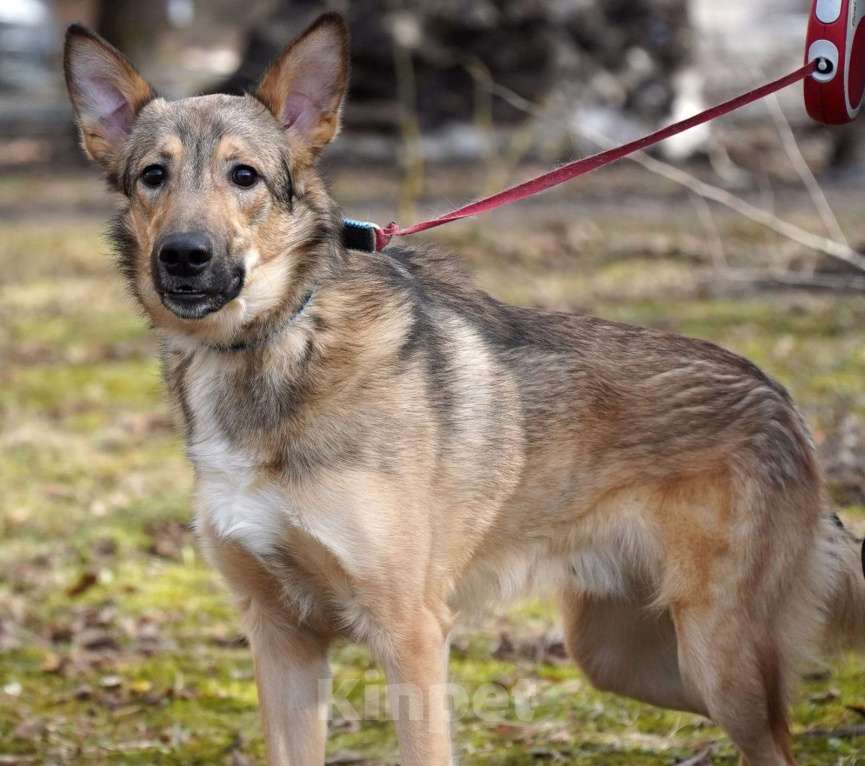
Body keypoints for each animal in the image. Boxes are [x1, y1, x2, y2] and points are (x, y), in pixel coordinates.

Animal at [66, 13, 864, 766]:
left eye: (244, 177)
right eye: (153, 176)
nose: (184, 257)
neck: (274, 343)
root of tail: (781, 401)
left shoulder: (410, 635)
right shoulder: (282, 641)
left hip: (715, 659)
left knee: (775, 742)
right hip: (628, 660)